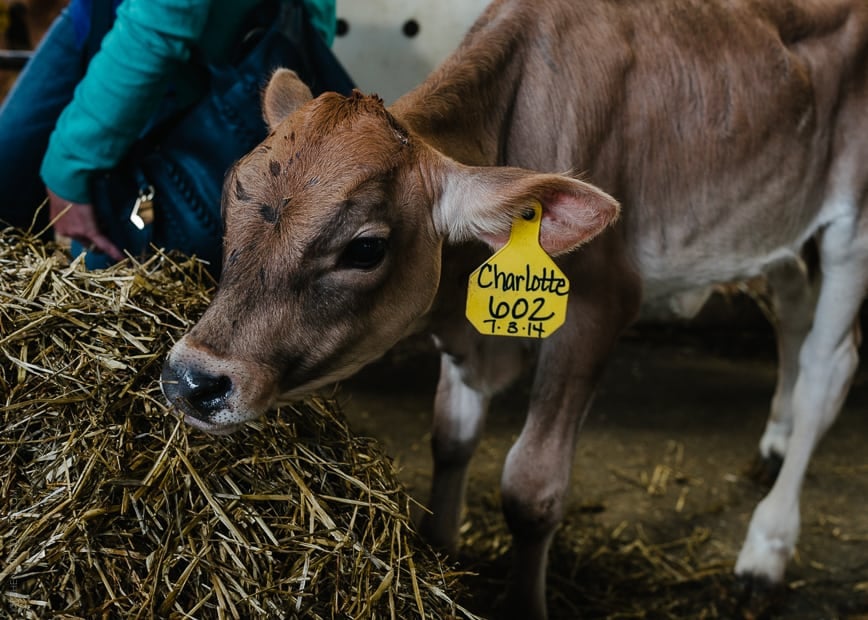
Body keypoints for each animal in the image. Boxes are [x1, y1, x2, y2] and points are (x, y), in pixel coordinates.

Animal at [160, 0, 868, 617]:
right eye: (229, 192)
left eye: (365, 248)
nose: (192, 379)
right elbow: (449, 437)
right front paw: (442, 554)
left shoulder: (600, 306)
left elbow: (530, 489)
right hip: (773, 217)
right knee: (792, 307)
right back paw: (773, 440)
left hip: (851, 224)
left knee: (829, 366)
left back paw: (767, 548)